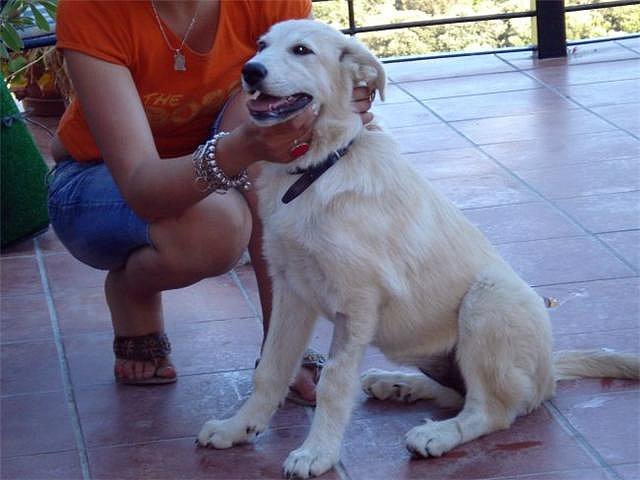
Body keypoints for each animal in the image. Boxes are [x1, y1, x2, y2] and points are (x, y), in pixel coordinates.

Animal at [198, 19, 636, 480]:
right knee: (456, 393)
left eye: (302, 50)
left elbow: (334, 381)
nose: (250, 71)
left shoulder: (356, 304)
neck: (317, 171)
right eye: (261, 46)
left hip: (488, 297)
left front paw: (317, 452)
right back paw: (398, 385)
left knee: (492, 410)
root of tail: (549, 370)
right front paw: (238, 427)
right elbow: (271, 368)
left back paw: (437, 434)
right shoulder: (291, 290)